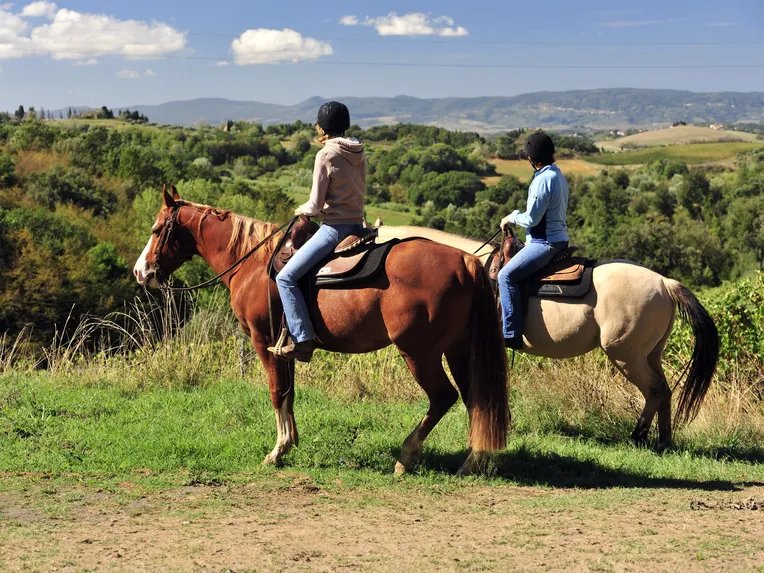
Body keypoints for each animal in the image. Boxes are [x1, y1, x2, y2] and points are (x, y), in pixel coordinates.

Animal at [134, 185, 510, 472]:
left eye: (156, 230)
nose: (141, 272)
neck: (253, 262)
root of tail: (465, 261)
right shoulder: (284, 346)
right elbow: (289, 393)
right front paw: (290, 441)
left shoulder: (262, 340)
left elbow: (276, 392)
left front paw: (277, 451)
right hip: (458, 348)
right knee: (476, 399)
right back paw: (473, 461)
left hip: (419, 352)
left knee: (444, 397)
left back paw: (407, 457)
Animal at [380, 226, 720, 450]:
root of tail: (665, 282)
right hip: (651, 354)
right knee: (664, 391)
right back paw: (664, 440)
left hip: (627, 356)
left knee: (654, 390)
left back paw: (638, 436)